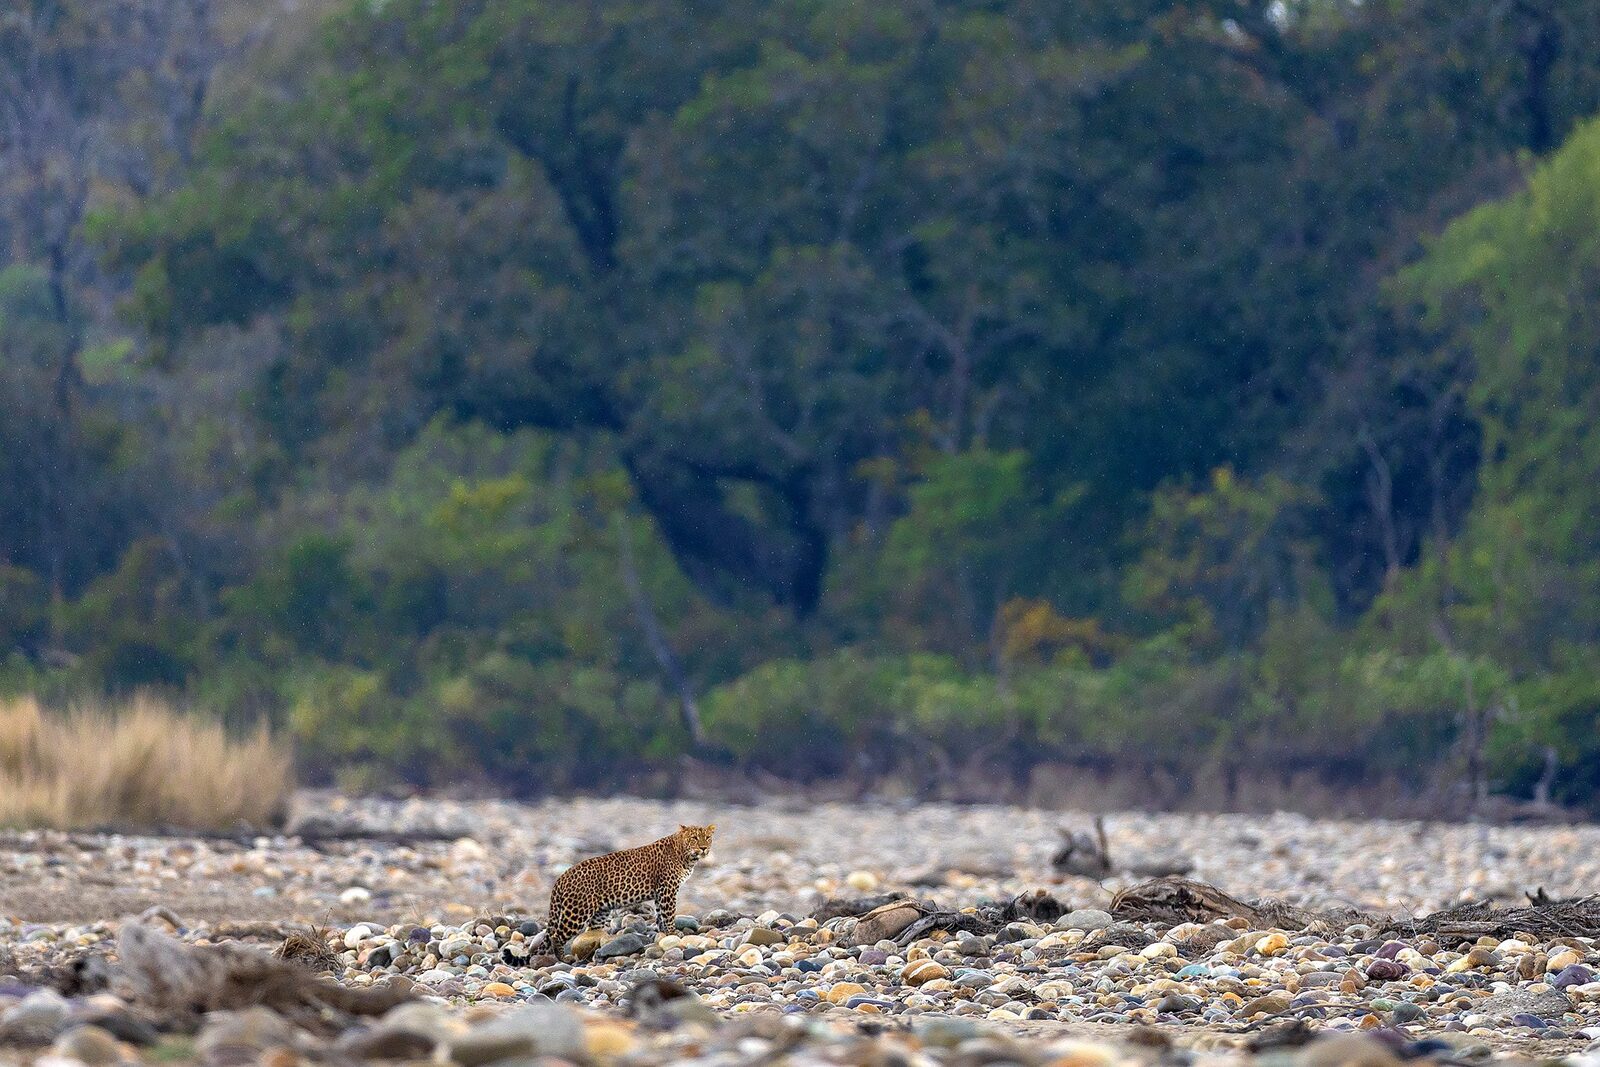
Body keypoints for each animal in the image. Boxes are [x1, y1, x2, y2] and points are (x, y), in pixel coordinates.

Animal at [526, 823, 716, 959]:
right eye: (694, 838)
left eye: (707, 838)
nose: (703, 848)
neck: (686, 856)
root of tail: (562, 876)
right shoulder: (667, 889)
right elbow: (669, 914)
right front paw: (673, 933)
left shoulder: (661, 893)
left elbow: (661, 914)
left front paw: (664, 933)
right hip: (577, 912)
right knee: (556, 935)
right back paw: (562, 958)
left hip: (600, 912)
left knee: (590, 932)